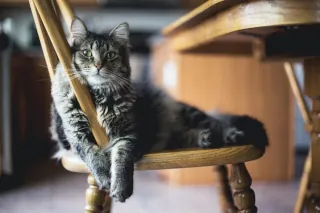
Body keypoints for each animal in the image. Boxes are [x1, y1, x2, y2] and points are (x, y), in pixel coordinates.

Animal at [50, 16, 268, 203]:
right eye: (86, 53)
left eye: (110, 55)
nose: (98, 65)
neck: (97, 96)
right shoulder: (75, 134)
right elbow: (92, 155)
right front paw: (105, 178)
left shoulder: (129, 134)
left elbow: (121, 159)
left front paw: (120, 187)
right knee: (189, 134)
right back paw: (206, 138)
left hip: (189, 114)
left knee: (218, 123)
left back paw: (230, 135)